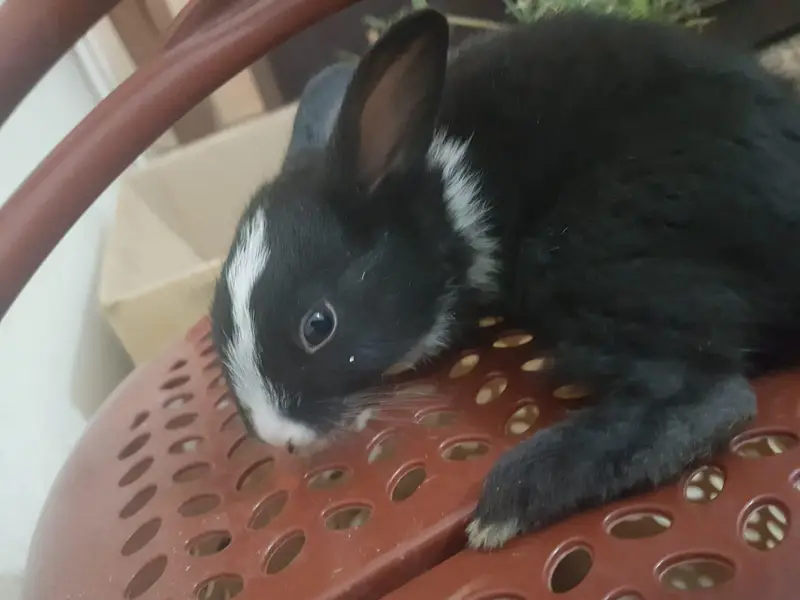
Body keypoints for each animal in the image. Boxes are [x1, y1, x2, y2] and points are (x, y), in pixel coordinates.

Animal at [211, 8, 800, 550]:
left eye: (318, 325)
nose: (278, 436)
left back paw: (511, 499)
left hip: (589, 249)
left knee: (709, 397)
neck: (441, 194)